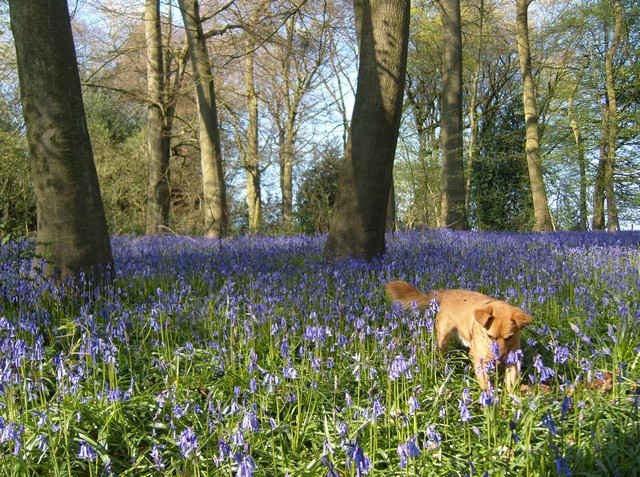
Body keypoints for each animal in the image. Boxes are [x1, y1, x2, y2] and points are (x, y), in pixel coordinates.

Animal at [388, 280, 532, 388]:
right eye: (490, 336)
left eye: (509, 337)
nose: (499, 359)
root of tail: (446, 293)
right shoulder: (479, 359)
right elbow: (485, 383)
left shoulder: (513, 358)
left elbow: (511, 382)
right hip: (443, 339)